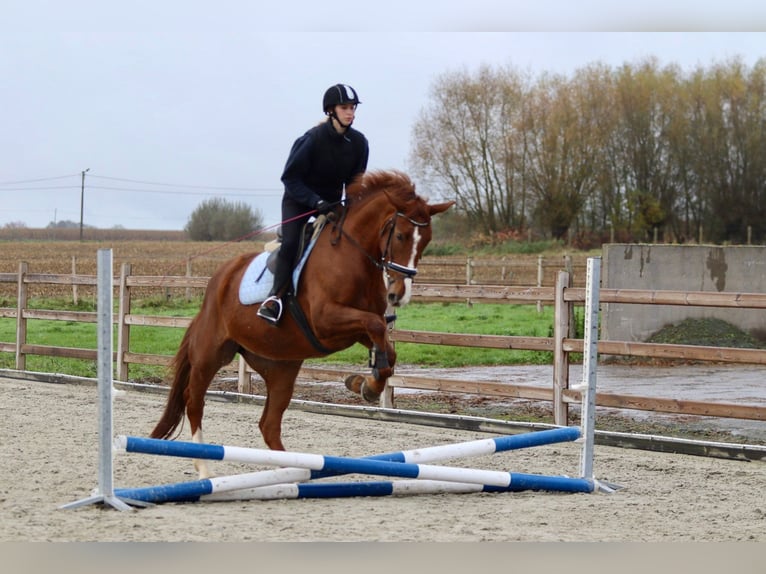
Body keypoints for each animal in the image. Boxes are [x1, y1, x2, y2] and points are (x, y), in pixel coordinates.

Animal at [148, 169, 456, 480]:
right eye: (401, 235)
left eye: (426, 241)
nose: (398, 294)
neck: (353, 256)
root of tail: (218, 281)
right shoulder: (326, 321)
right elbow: (377, 327)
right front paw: (367, 384)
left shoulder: (356, 329)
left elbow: (386, 349)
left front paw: (366, 383)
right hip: (210, 355)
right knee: (194, 401)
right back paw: (204, 468)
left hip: (280, 366)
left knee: (269, 424)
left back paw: (290, 471)